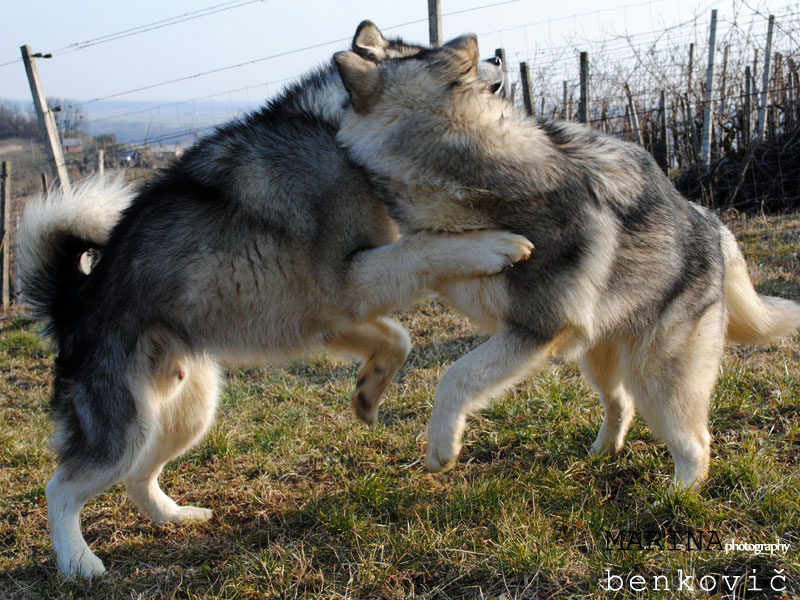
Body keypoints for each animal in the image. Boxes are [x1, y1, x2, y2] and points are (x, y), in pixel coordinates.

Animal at [15, 25, 532, 580]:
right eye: (438, 56)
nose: (498, 56)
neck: (335, 130)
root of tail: (74, 303)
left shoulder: (335, 310)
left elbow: (398, 337)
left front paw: (369, 391)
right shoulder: (350, 280)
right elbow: (427, 250)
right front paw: (493, 244)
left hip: (187, 410)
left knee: (138, 477)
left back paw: (176, 517)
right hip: (125, 426)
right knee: (61, 488)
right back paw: (78, 561)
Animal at [334, 34, 800, 492]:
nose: (496, 56)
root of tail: (710, 221)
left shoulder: (539, 327)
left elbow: (455, 376)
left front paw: (441, 449)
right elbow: (428, 254)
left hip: (656, 377)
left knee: (695, 442)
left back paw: (675, 498)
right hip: (599, 358)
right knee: (622, 404)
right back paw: (601, 454)